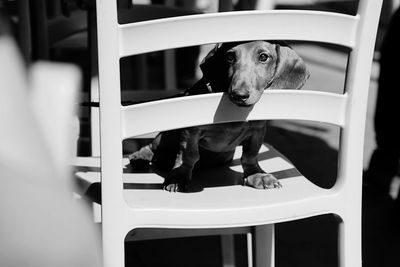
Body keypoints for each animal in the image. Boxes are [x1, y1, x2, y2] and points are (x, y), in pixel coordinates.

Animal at [128, 40, 310, 193]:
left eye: (264, 57)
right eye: (230, 56)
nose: (239, 95)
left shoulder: (258, 131)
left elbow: (250, 155)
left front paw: (257, 175)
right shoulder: (191, 131)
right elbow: (189, 155)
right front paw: (179, 177)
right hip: (166, 137)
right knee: (152, 146)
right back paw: (141, 157)